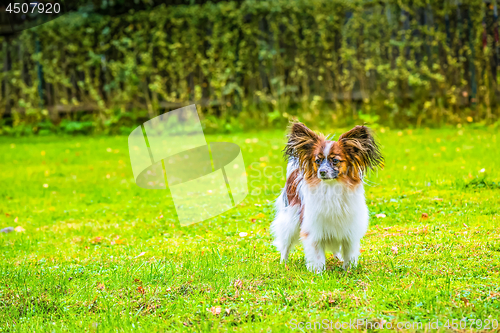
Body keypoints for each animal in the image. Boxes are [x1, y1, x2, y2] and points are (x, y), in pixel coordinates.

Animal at [270, 122, 382, 272]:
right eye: (318, 161)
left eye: (335, 160)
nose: (322, 172)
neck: (331, 188)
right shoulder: (313, 229)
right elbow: (317, 256)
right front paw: (318, 273)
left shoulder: (349, 230)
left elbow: (349, 253)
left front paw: (348, 270)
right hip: (290, 220)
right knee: (285, 244)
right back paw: (284, 263)